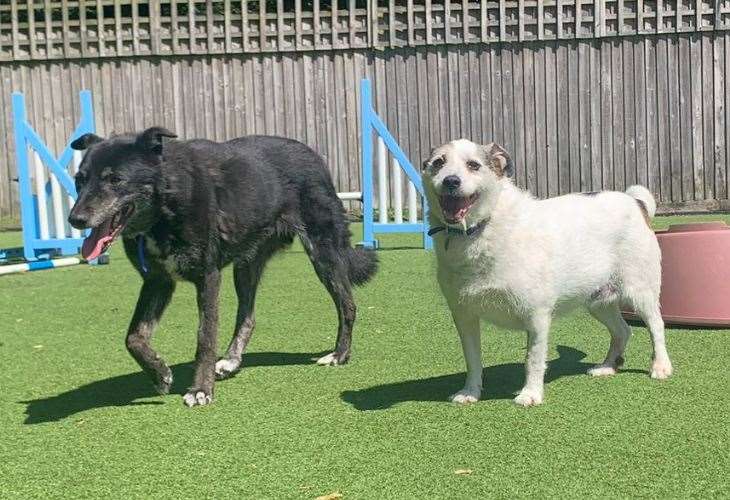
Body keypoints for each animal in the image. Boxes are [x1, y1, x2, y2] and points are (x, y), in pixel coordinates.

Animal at [67, 128, 376, 406]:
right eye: (79, 180)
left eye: (115, 179)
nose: (75, 219)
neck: (165, 206)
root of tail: (315, 157)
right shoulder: (158, 280)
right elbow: (133, 337)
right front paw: (159, 373)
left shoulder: (208, 277)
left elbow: (205, 338)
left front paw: (200, 390)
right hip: (246, 266)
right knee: (248, 317)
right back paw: (230, 361)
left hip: (322, 254)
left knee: (347, 305)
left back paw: (339, 354)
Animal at [420, 140, 672, 406]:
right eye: (438, 163)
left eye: (473, 165)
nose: (450, 181)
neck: (480, 229)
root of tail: (635, 202)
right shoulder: (464, 316)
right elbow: (472, 359)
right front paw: (470, 391)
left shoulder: (536, 315)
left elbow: (532, 359)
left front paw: (530, 393)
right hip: (598, 301)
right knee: (623, 330)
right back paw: (607, 366)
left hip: (640, 291)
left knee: (656, 325)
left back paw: (660, 366)